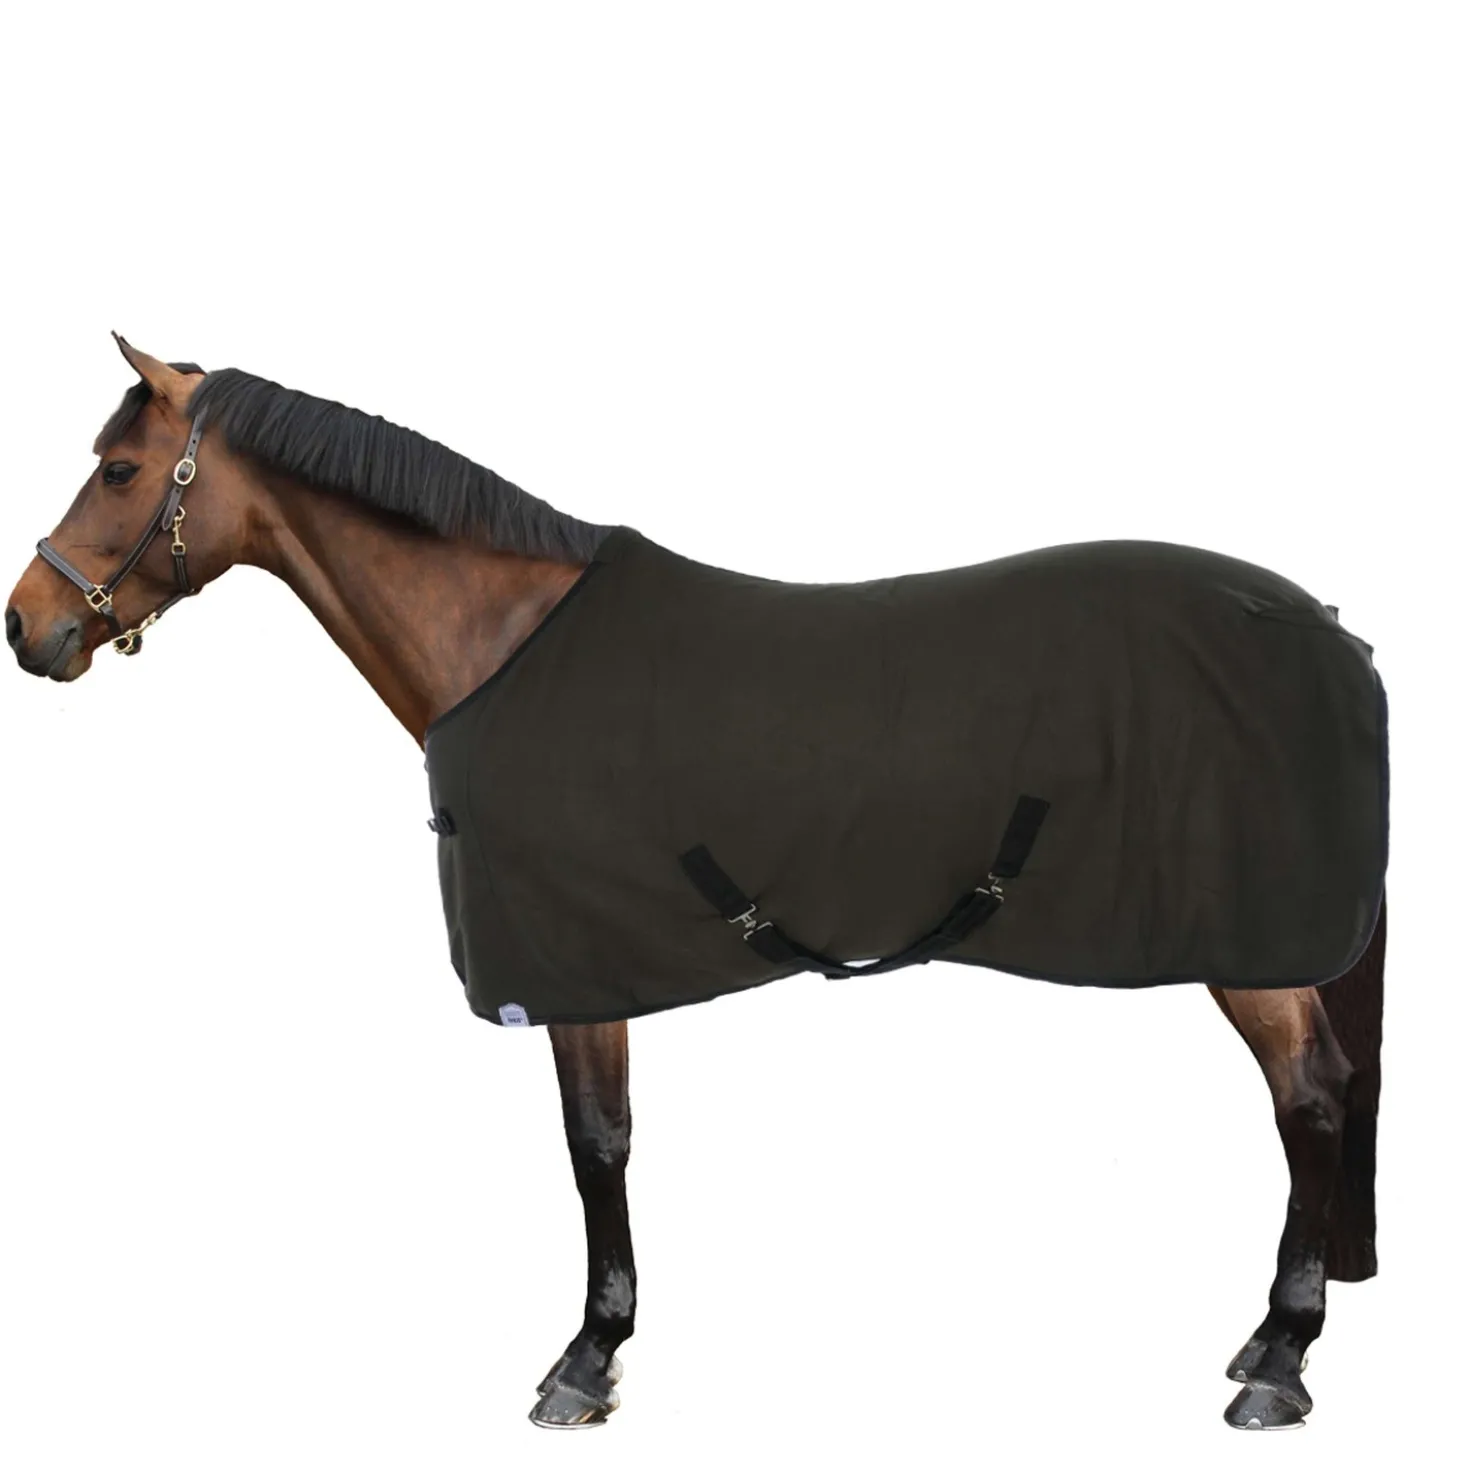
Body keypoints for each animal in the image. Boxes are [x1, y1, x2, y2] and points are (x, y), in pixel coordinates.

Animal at [5, 335, 1386, 1432]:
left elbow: (595, 1144)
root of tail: (1323, 625)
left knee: (1312, 1096)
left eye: (119, 470)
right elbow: (605, 1139)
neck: (504, 642)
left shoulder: (573, 967)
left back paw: (1280, 1360)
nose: (26, 627)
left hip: (1251, 948)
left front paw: (586, 1357)